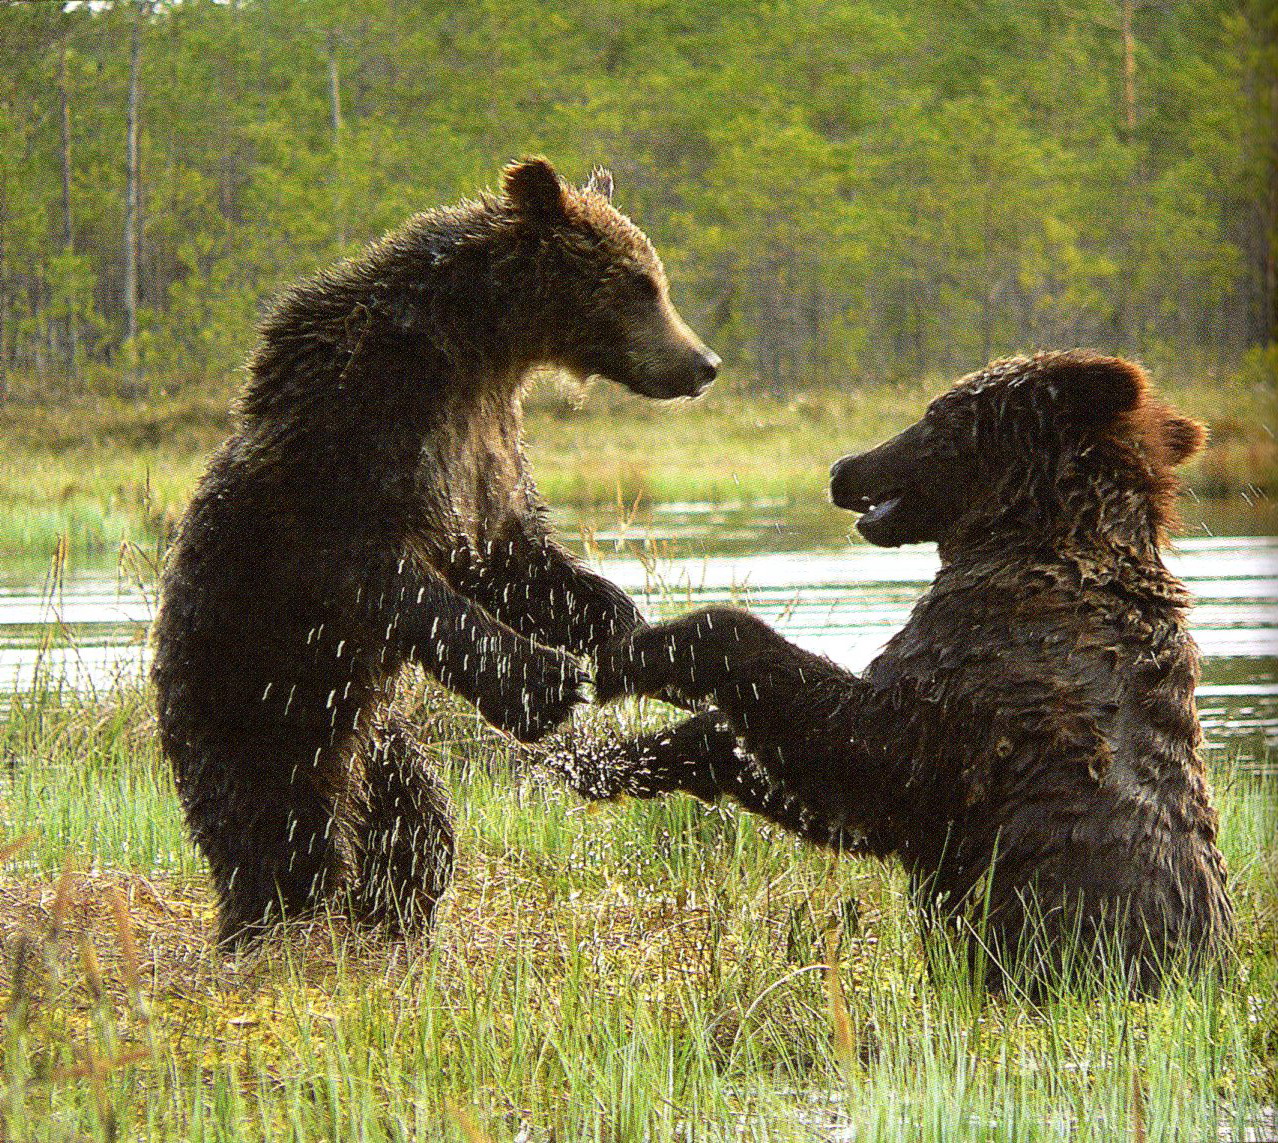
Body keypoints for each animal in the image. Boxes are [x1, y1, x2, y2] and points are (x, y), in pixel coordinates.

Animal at [149, 161, 720, 951]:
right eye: (640, 284)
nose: (703, 363)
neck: (477, 351)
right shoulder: (363, 435)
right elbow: (394, 580)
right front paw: (546, 682)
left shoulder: (485, 442)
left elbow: (516, 558)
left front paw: (630, 631)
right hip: (253, 696)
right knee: (281, 834)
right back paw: (271, 927)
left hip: (373, 735)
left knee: (416, 821)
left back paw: (391, 912)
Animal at [557, 352, 1226, 997]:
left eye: (933, 418)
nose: (842, 468)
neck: (1032, 543)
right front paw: (617, 758)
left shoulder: (974, 698)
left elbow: (857, 753)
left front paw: (636, 651)